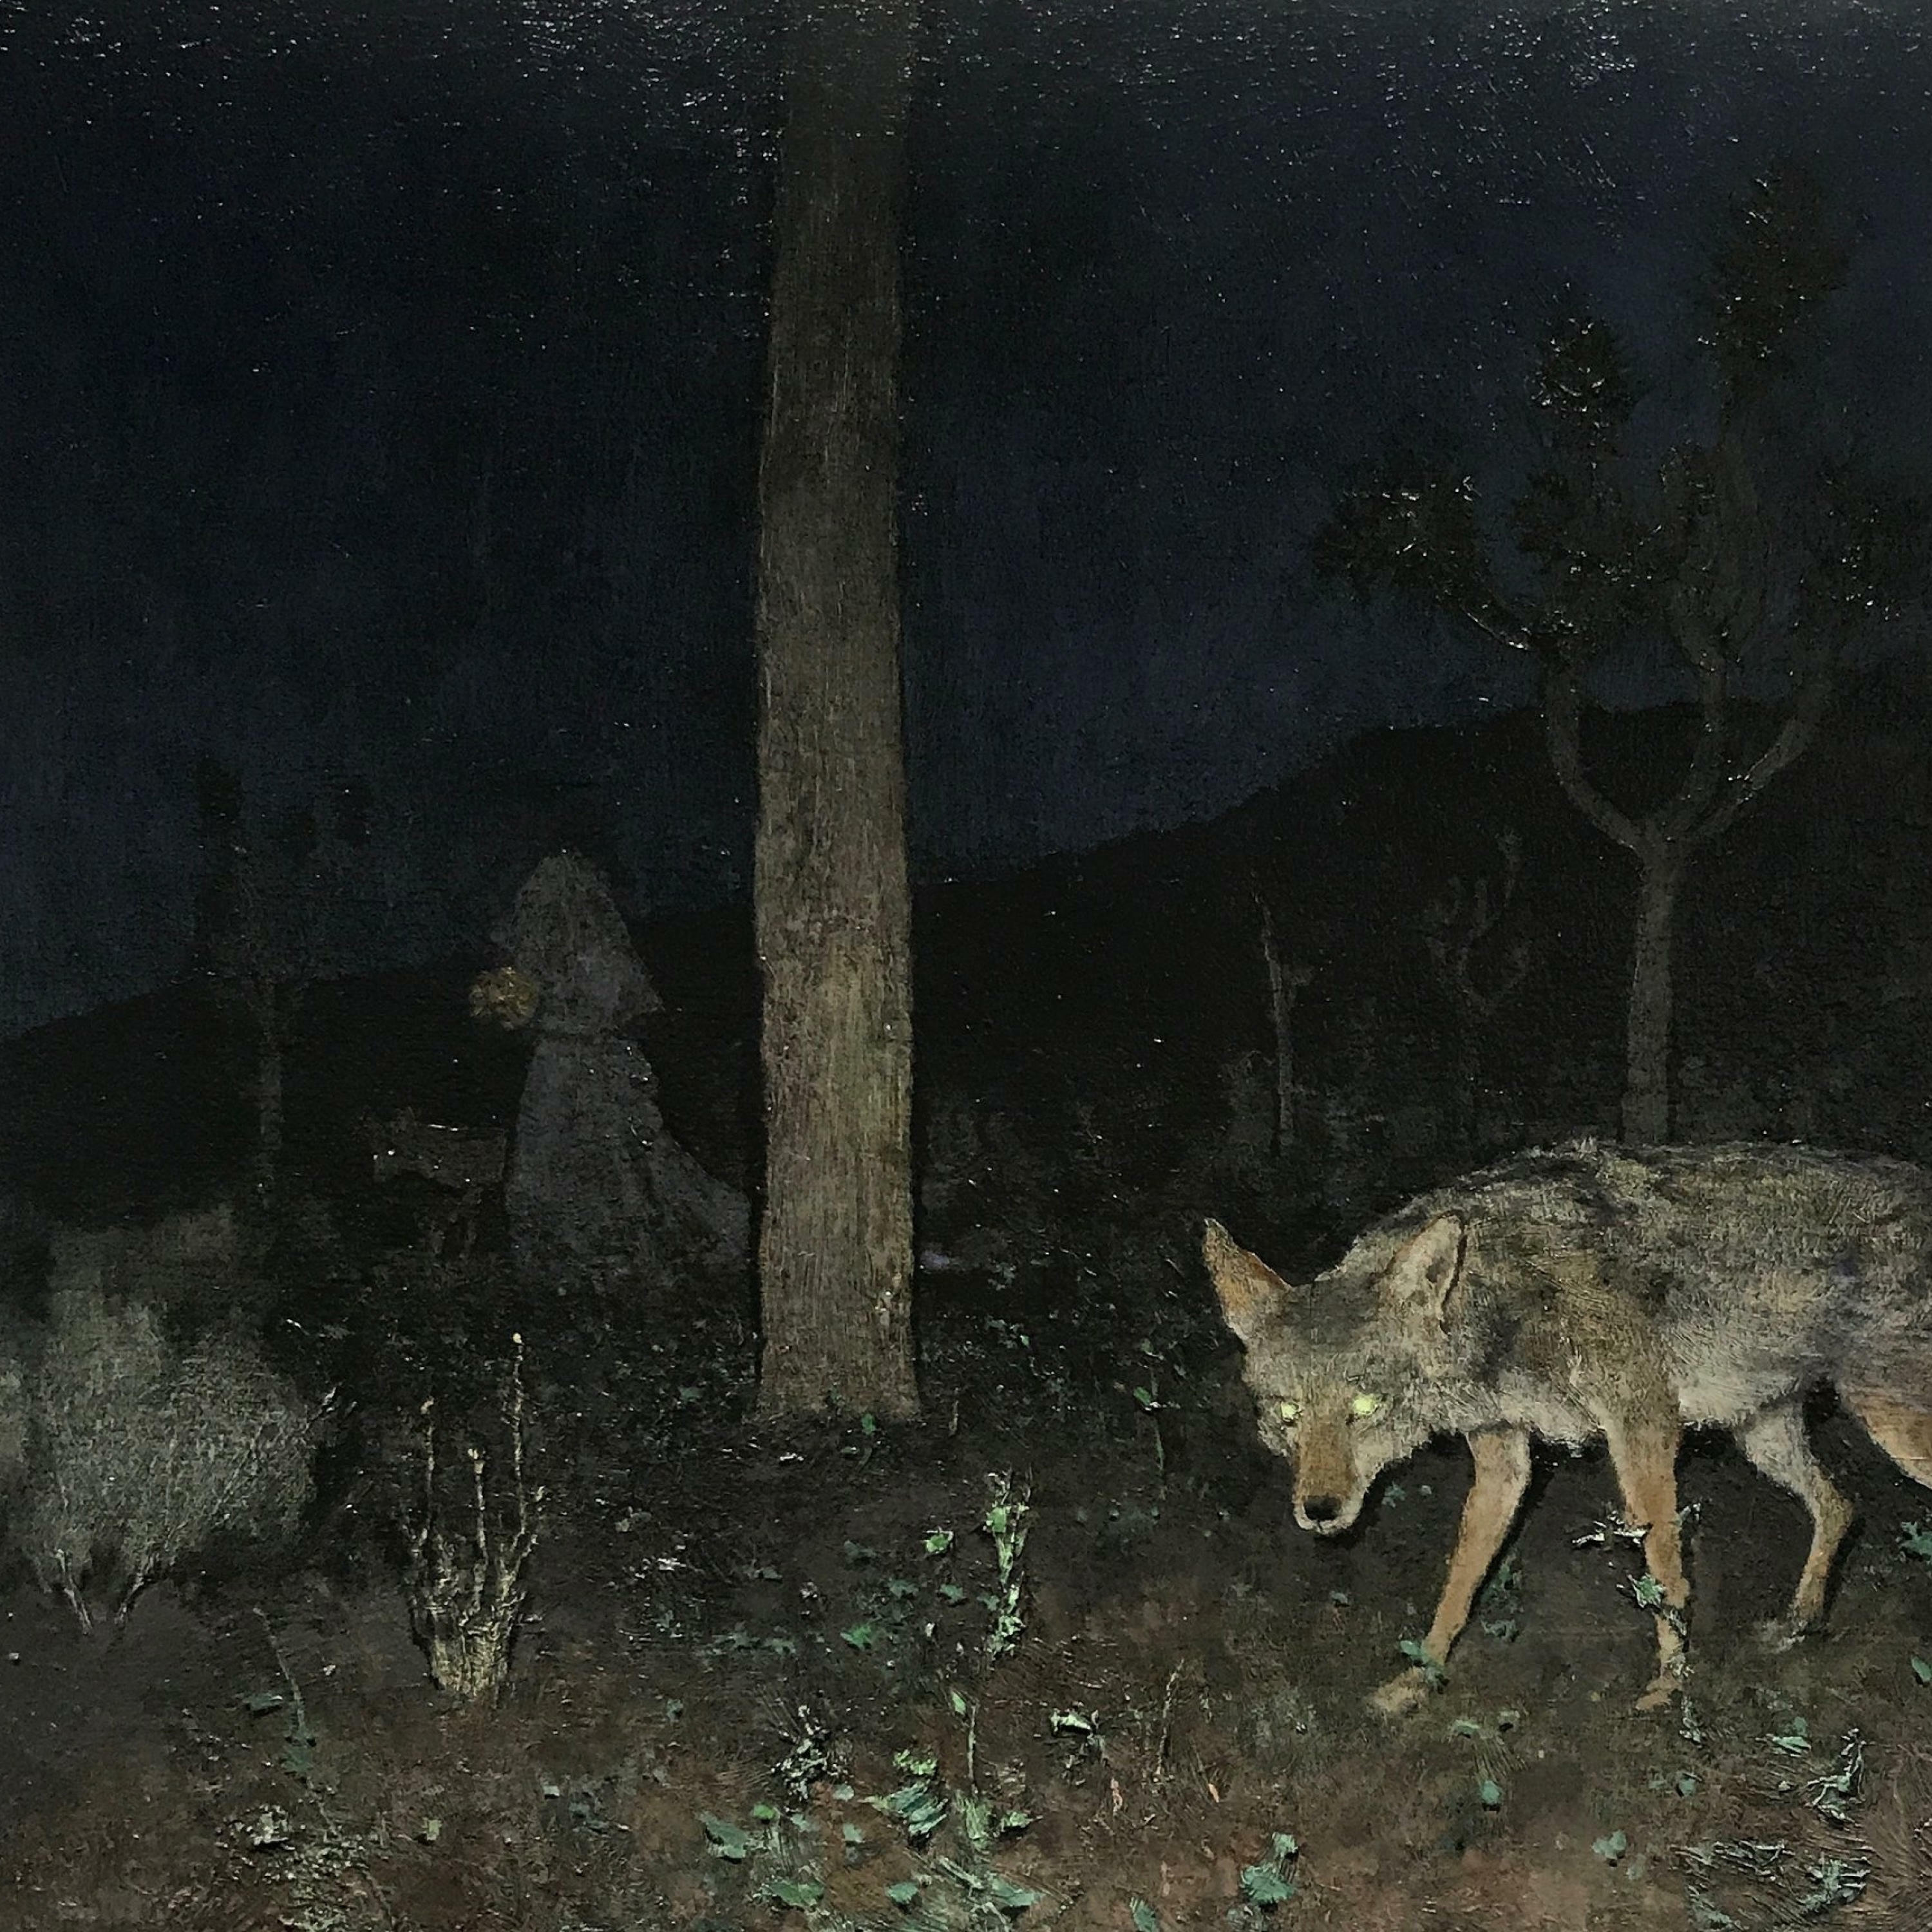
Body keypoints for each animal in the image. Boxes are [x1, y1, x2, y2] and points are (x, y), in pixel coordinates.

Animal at [1204, 1139, 1932, 1715]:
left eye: (1364, 1406)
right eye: (1287, 1414)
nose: (1320, 1511)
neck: (1493, 1308)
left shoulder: (1643, 1419)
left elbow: (1664, 1573)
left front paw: (1671, 1687)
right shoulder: (1504, 1458)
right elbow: (1460, 1583)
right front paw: (1421, 1678)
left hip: (1885, 1424)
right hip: (1765, 1437)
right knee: (1840, 1505)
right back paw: (1799, 1623)